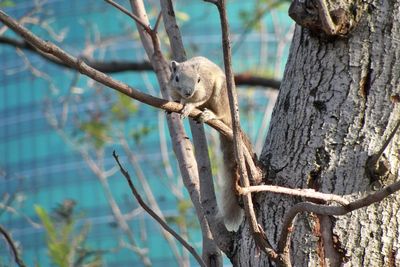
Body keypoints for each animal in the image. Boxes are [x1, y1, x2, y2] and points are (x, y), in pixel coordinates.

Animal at [167, 56, 255, 232]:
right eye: (176, 78)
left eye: (198, 79)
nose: (188, 92)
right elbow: (175, 98)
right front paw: (175, 104)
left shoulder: (205, 88)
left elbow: (199, 99)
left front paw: (188, 107)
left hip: (220, 95)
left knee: (219, 113)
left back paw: (209, 114)